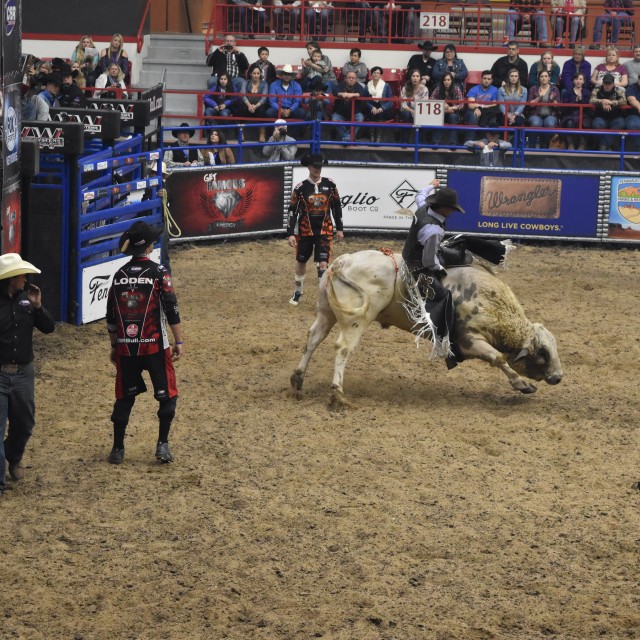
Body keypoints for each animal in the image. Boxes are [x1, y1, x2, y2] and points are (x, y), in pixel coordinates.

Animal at [290, 249, 563, 408]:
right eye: (542, 352)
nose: (558, 377)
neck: (489, 301)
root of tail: (340, 262)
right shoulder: (468, 340)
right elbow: (497, 358)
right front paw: (522, 384)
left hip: (326, 311)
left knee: (312, 339)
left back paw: (298, 378)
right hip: (356, 319)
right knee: (342, 349)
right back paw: (337, 394)